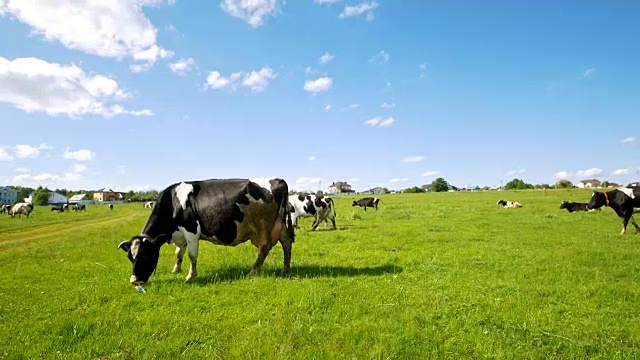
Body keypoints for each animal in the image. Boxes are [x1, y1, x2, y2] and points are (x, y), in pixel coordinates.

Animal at [117, 177, 296, 284]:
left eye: (145, 255)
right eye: (130, 257)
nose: (134, 280)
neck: (173, 202)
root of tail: (277, 180)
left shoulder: (191, 230)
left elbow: (191, 255)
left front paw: (190, 276)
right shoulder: (181, 234)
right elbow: (179, 253)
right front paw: (176, 269)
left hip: (263, 224)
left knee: (264, 247)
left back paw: (252, 272)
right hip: (279, 223)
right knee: (287, 243)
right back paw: (286, 268)